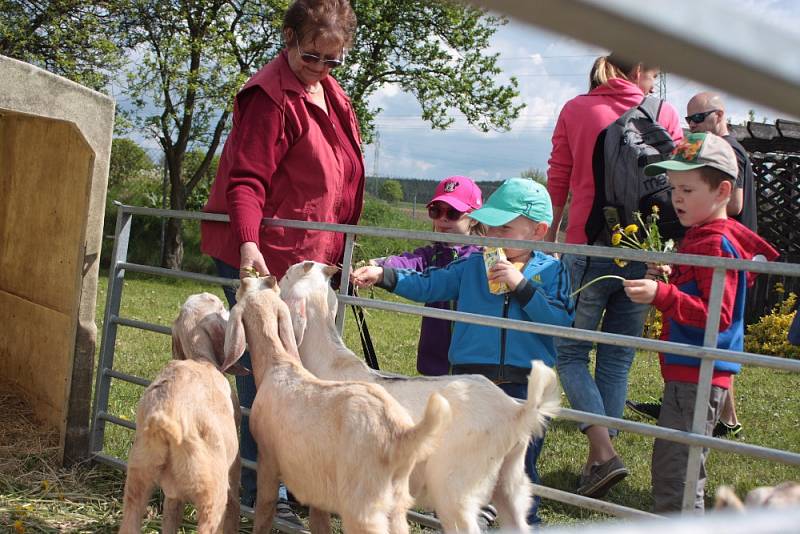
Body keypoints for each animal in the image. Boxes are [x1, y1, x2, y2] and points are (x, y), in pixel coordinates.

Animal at [120, 296, 245, 532]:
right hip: (211, 496)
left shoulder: (173, 496)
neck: (201, 359)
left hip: (137, 479)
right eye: (219, 305)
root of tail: (167, 421)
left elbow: (171, 518)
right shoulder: (233, 472)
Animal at [222, 276, 454, 534]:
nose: (240, 279)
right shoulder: (314, 480)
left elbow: (264, 509)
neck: (278, 364)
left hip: (363, 505)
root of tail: (401, 435)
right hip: (396, 503)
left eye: (244, 287)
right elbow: (319, 521)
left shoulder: (268, 459)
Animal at [282, 262, 564, 534]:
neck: (331, 363)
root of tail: (515, 413)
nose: (277, 274)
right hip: (511, 480)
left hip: (455, 486)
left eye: (287, 275)